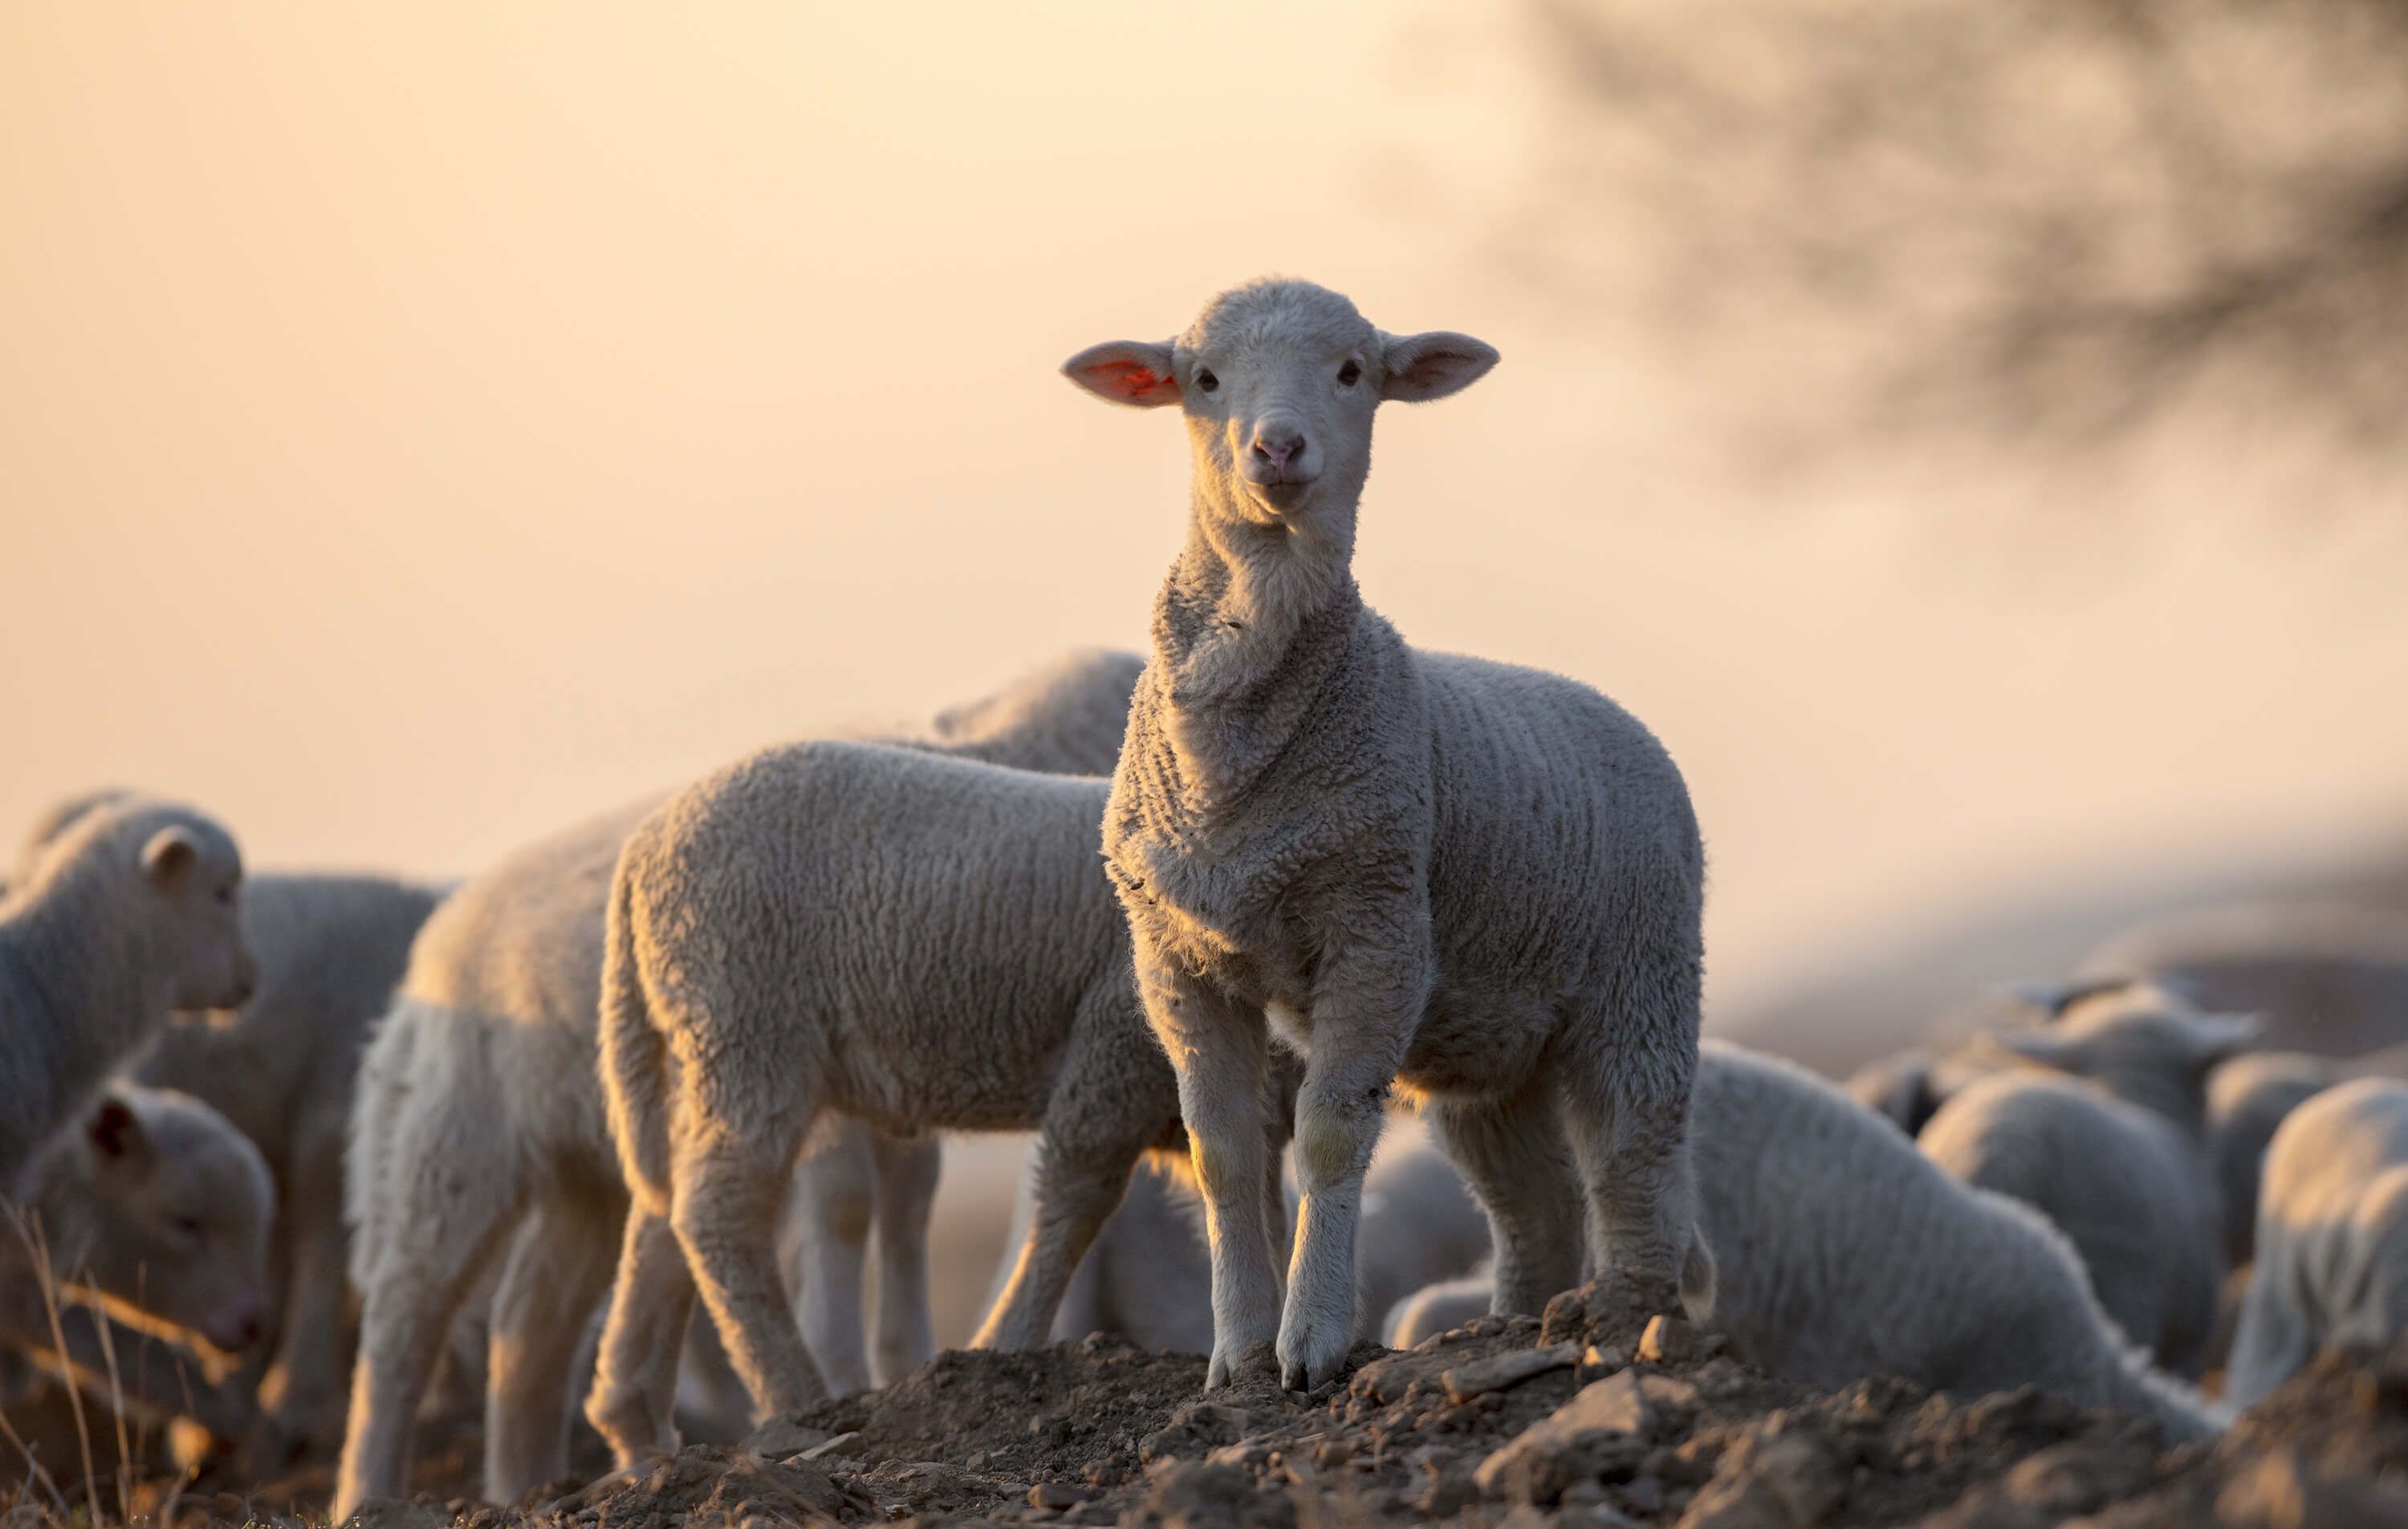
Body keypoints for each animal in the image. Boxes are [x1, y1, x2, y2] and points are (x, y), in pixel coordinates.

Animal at [333, 648, 1142, 1519]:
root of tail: (435, 945)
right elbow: (848, 1206)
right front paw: (849, 1370)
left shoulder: (897, 1069)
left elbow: (908, 1203)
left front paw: (909, 1359)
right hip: (459, 1128)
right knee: (407, 1309)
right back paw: (369, 1492)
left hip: (592, 1164)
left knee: (529, 1322)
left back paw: (528, 1481)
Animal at [584, 736, 1286, 1471]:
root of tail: (640, 857)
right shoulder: (1115, 1045)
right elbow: (1074, 1200)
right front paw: (1004, 1343)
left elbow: (1262, 1199)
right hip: (747, 1025)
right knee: (716, 1214)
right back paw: (795, 1396)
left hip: (705, 1043)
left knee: (663, 1210)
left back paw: (634, 1419)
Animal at [1064, 276, 1709, 1391]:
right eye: (1203, 379)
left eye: (1352, 371)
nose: (1278, 448)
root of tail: (1608, 708)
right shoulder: (1176, 956)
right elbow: (1222, 1152)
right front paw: (1236, 1354)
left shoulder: (1374, 927)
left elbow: (1330, 1136)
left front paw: (1311, 1343)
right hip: (1492, 1040)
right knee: (1531, 1201)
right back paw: (1513, 1326)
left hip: (1644, 975)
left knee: (1636, 1156)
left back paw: (1630, 1318)